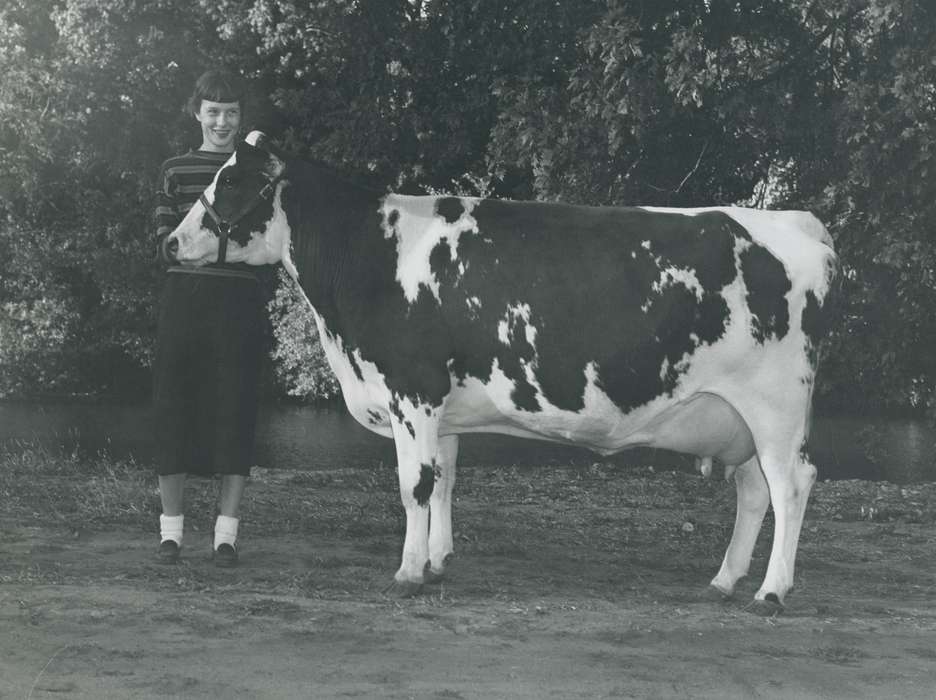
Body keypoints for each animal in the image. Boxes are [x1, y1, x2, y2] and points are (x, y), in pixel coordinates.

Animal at [167, 131, 837, 614]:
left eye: (231, 182)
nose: (170, 242)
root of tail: (796, 221)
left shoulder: (412, 390)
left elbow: (414, 484)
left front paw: (407, 573)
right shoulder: (441, 407)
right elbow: (444, 480)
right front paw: (437, 561)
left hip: (776, 407)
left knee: (791, 485)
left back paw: (770, 593)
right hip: (738, 417)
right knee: (754, 491)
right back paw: (724, 580)